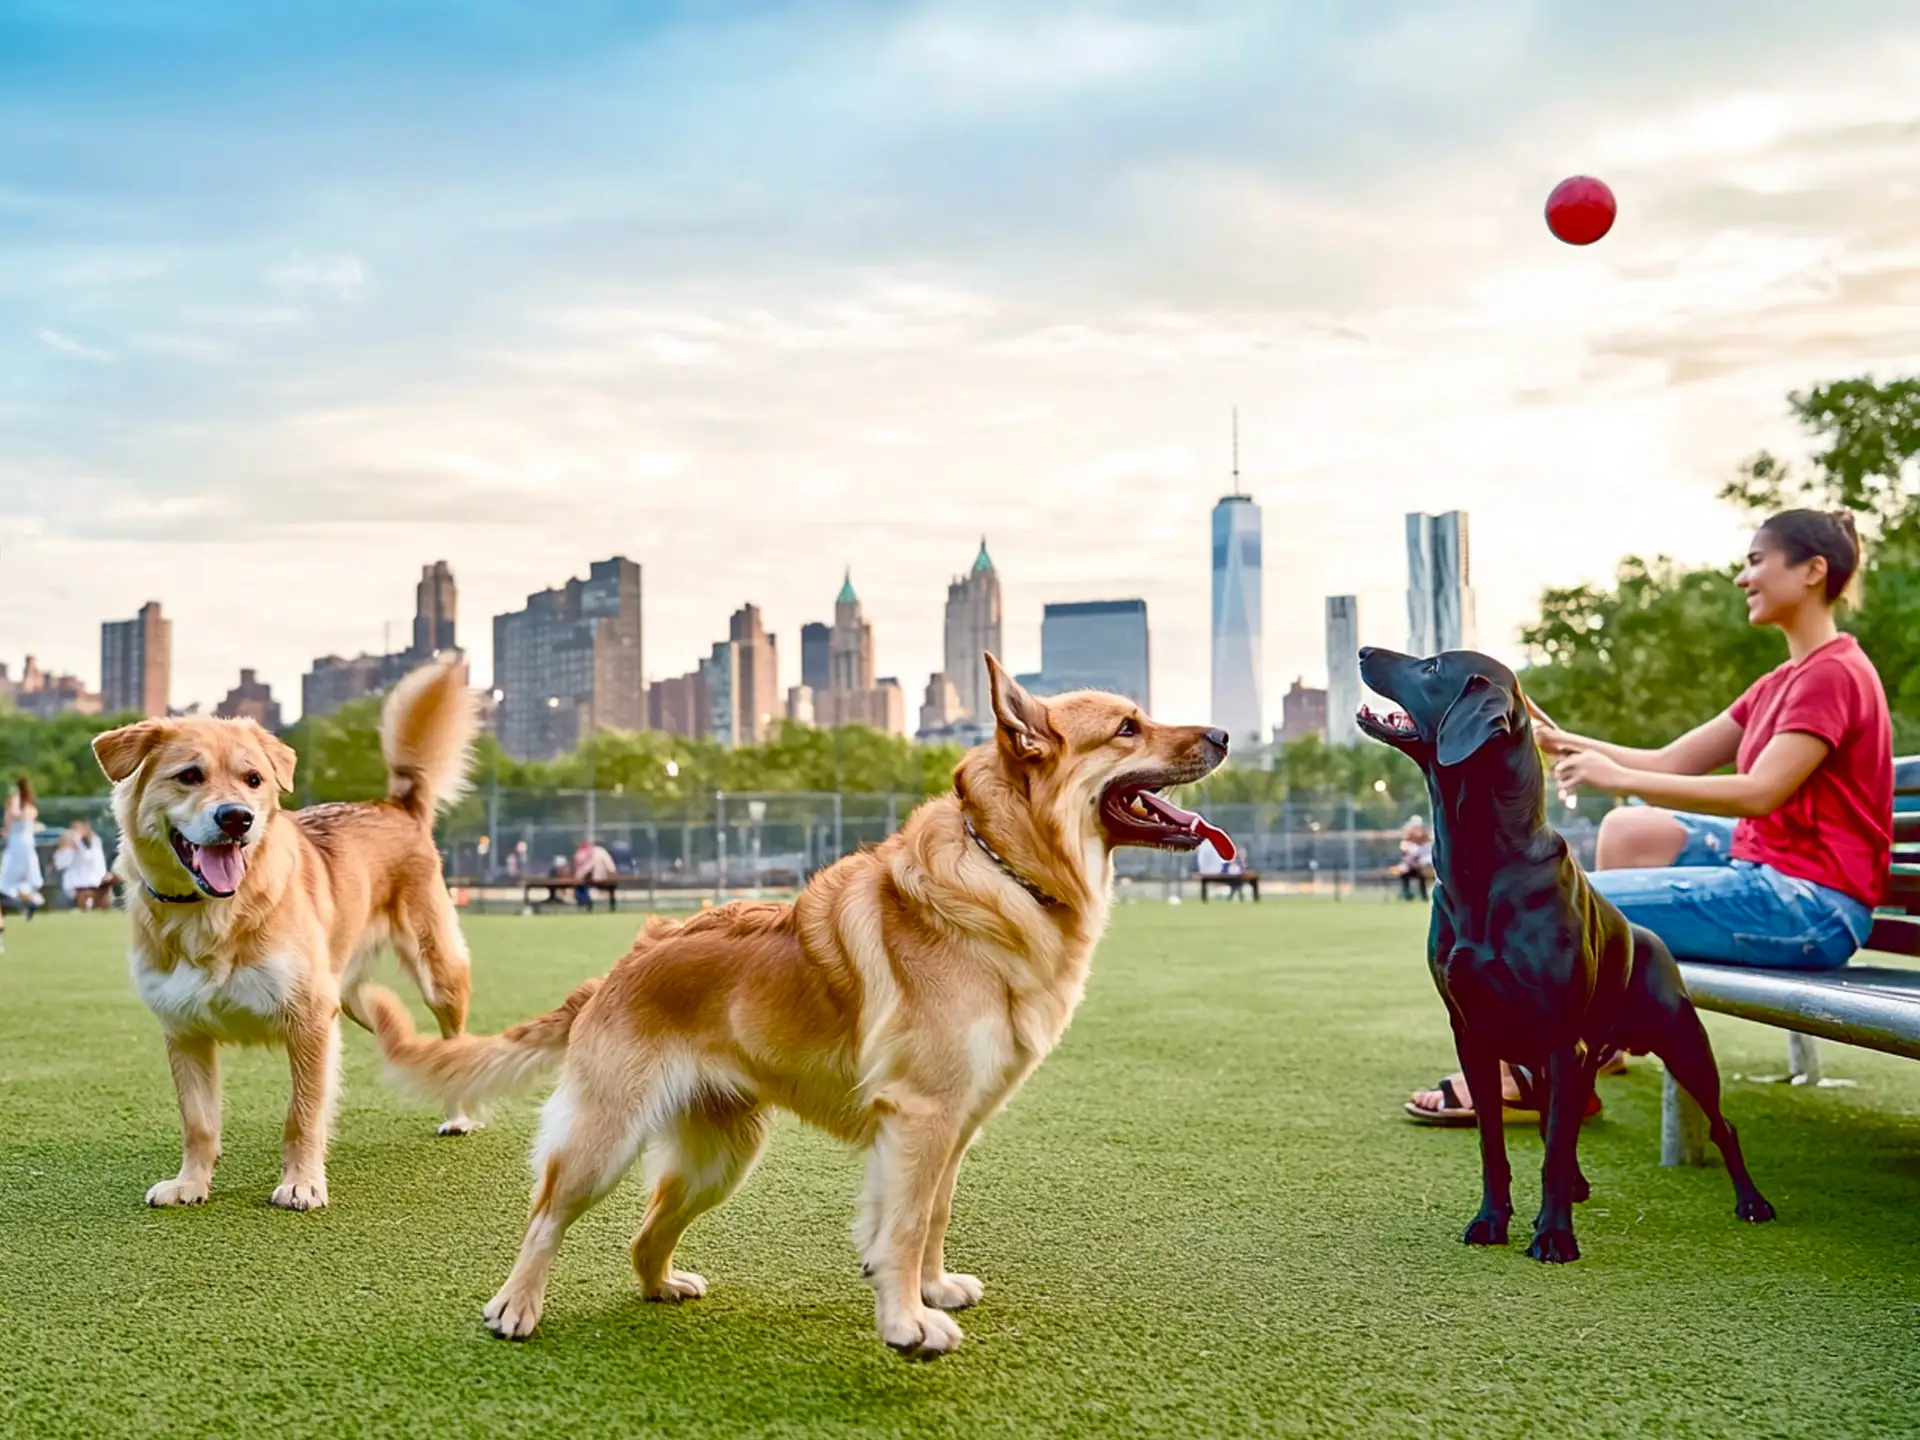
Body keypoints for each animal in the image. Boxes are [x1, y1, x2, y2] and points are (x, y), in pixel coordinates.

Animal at [90, 660, 483, 1213]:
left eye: (253, 779)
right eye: (189, 775)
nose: (237, 817)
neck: (210, 914)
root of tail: (396, 805)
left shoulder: (310, 1020)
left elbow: (303, 1114)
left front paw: (302, 1183)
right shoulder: (185, 1031)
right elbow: (198, 1123)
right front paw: (190, 1183)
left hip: (438, 973)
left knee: (456, 1042)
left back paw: (459, 1113)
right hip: (348, 996)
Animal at [362, 660, 1228, 1359]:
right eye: (1128, 727)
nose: (1221, 733)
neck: (1001, 874)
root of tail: (627, 962)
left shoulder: (951, 1127)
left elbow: (930, 1217)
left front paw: (930, 1291)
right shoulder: (922, 1116)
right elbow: (904, 1226)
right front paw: (908, 1323)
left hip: (721, 1157)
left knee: (645, 1235)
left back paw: (661, 1287)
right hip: (605, 1142)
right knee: (546, 1215)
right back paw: (517, 1305)